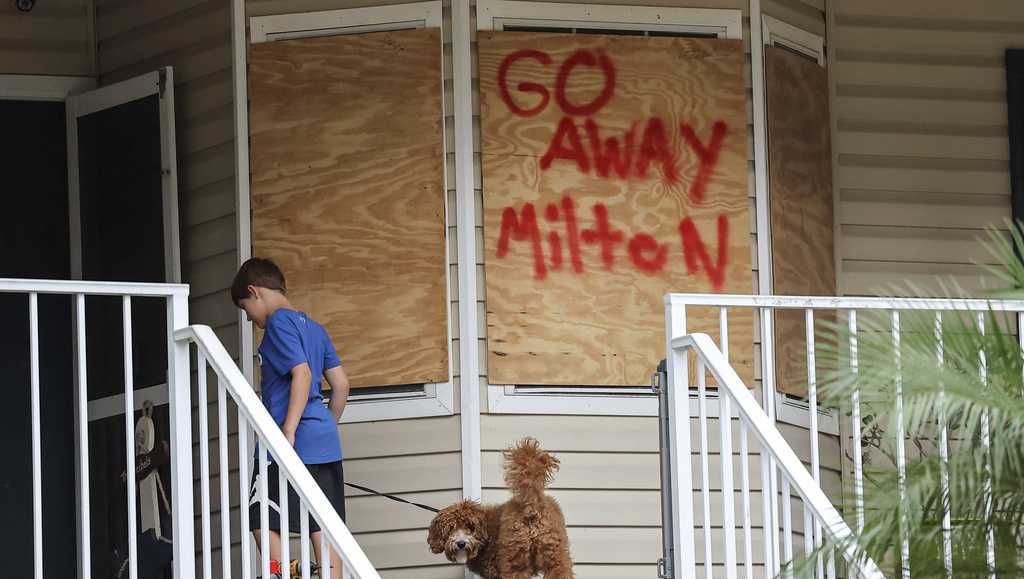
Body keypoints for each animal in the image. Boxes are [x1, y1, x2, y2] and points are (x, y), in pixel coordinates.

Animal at [425, 438, 577, 577]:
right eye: (451, 528)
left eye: (470, 527)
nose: (461, 543)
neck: (485, 535)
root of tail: (532, 503)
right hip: (554, 554)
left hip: (515, 560)